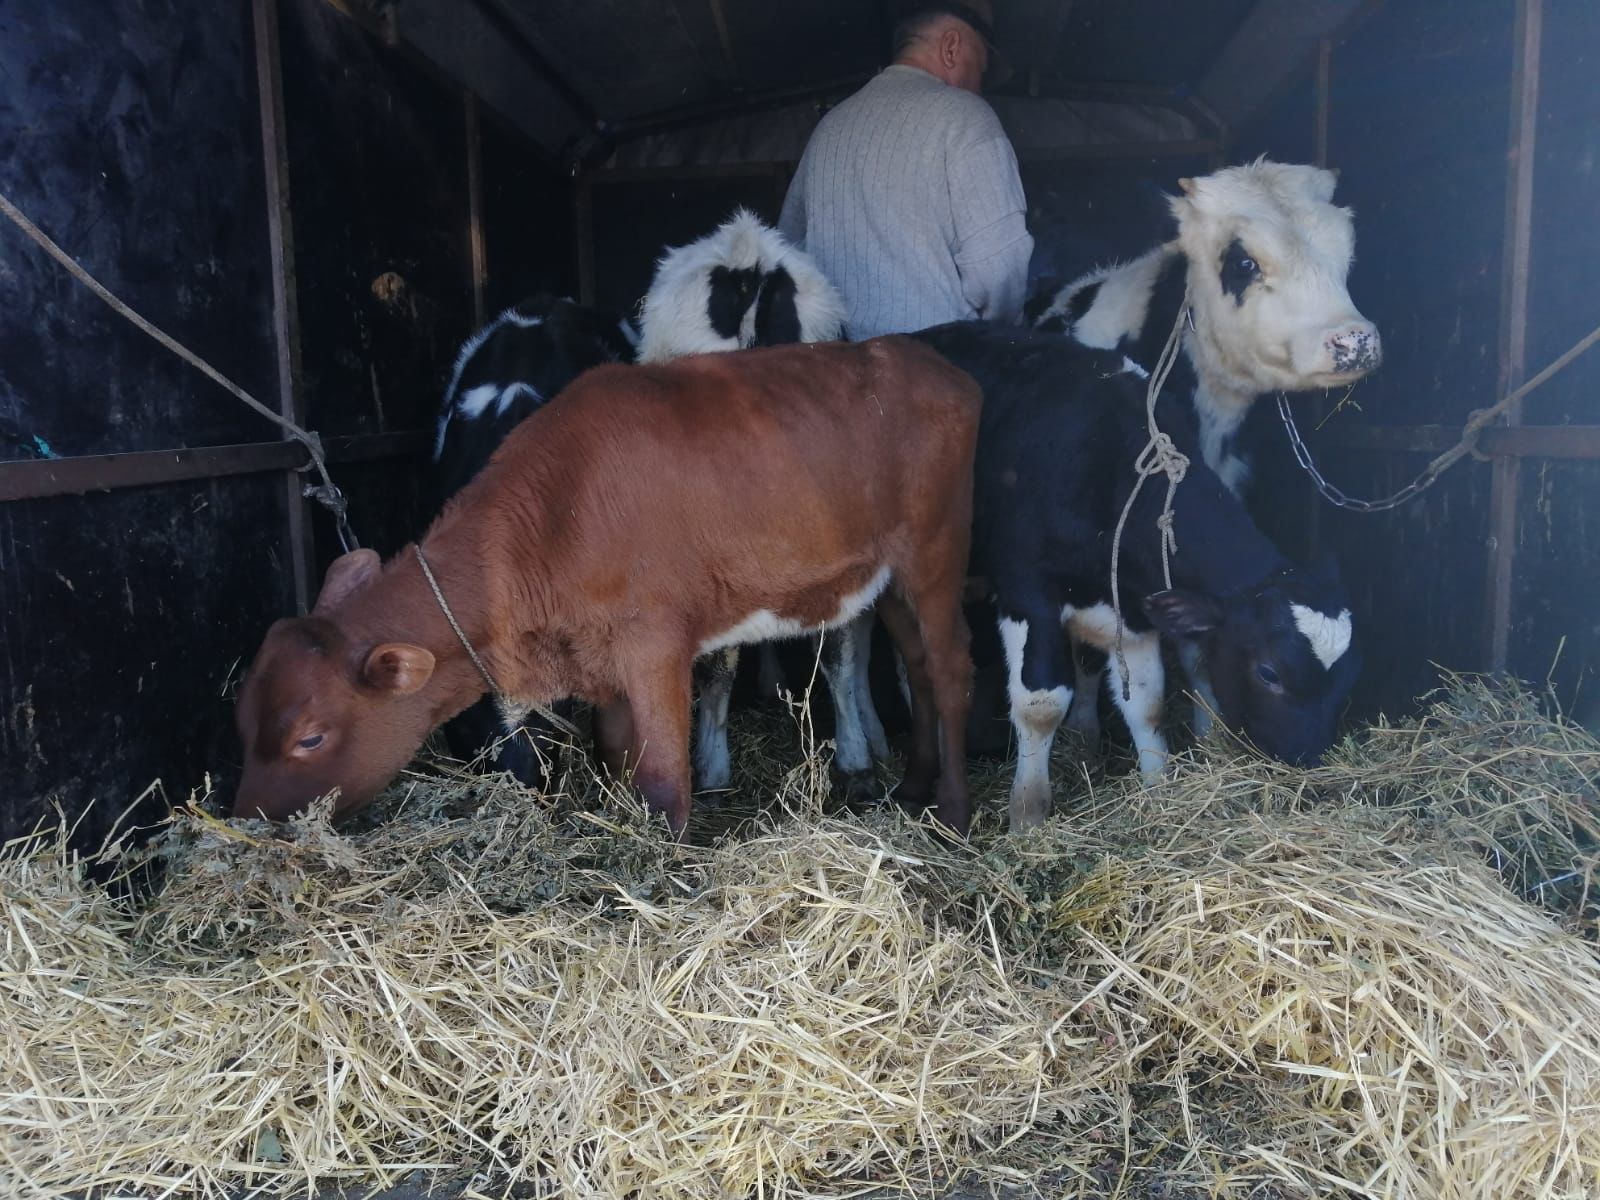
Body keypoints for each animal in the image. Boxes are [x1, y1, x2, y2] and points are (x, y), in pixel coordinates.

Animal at [233, 334, 985, 832]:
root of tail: (928, 361)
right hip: (887, 577)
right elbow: (621, 761)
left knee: (950, 668)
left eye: (310, 738)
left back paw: (951, 809)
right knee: (917, 666)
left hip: (936, 549)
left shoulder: (655, 645)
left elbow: (662, 779)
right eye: (242, 716)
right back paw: (913, 787)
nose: (245, 822)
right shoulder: (603, 664)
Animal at [908, 326, 1356, 838]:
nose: (1308, 761)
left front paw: (1158, 787)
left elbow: (1147, 701)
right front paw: (1028, 817)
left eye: (1349, 676)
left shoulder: (1136, 606)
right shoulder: (1028, 593)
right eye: (1269, 672)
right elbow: (1040, 704)